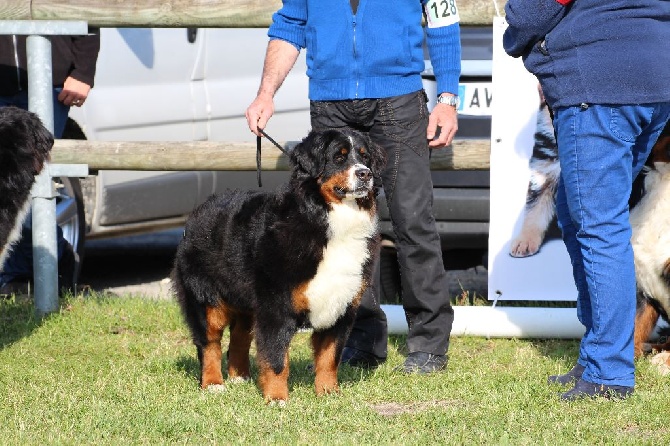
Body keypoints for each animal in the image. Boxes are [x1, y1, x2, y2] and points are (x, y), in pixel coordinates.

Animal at [171, 127, 386, 402]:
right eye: (339, 157)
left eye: (365, 156)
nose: (365, 173)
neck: (329, 220)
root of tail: (200, 209)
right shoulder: (276, 306)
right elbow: (276, 358)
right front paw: (276, 398)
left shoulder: (341, 306)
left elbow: (329, 357)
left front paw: (328, 392)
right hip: (207, 299)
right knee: (209, 342)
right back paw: (213, 383)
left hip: (246, 302)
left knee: (239, 338)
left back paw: (240, 377)